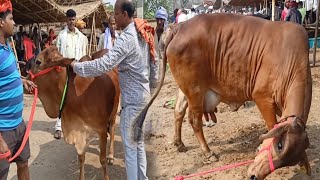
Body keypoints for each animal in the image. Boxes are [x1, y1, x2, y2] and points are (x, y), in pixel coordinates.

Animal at [27, 46, 119, 180]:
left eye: (38, 61)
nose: (26, 80)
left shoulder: (101, 130)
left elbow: (102, 160)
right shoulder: (80, 130)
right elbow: (81, 158)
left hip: (113, 113)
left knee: (112, 130)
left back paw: (111, 156)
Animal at [132, 13, 312, 179]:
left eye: (288, 161)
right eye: (279, 145)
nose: (254, 176)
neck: (290, 61)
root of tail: (180, 27)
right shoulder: (263, 98)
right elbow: (271, 125)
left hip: (184, 88)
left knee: (178, 111)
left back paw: (179, 143)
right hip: (195, 90)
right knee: (194, 120)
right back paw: (207, 151)